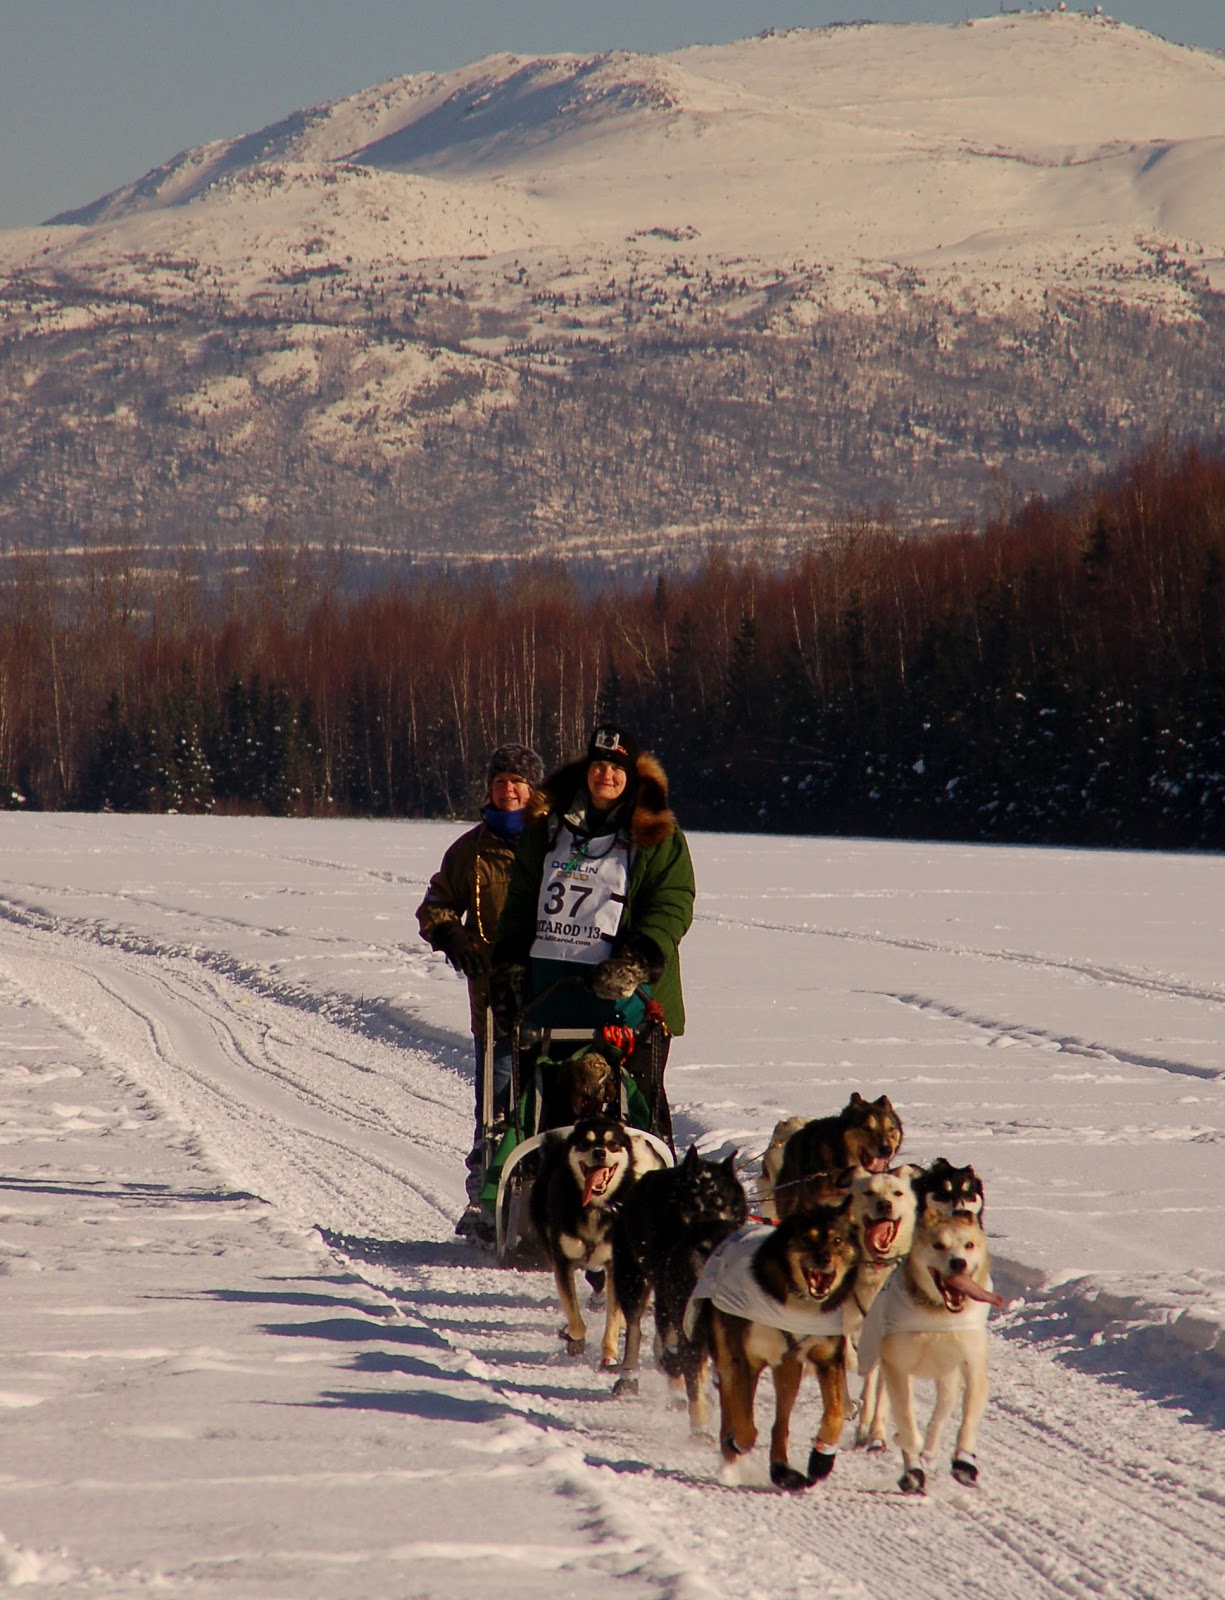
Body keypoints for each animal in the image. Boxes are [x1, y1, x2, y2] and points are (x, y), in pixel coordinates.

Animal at [528, 1115, 664, 1366]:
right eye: (586, 1142)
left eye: (613, 1144)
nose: (600, 1152)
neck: (596, 1207)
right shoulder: (562, 1261)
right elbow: (573, 1314)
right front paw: (575, 1338)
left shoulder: (616, 1264)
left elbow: (613, 1317)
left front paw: (609, 1355)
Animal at [610, 1144, 748, 1430]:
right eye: (694, 1205)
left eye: (722, 1204)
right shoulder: (668, 1297)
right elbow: (673, 1346)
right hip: (634, 1282)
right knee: (636, 1328)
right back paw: (631, 1375)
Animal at [686, 1197, 860, 1490]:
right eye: (807, 1238)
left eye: (837, 1240)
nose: (823, 1259)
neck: (798, 1303)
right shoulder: (740, 1359)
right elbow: (744, 1421)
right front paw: (739, 1441)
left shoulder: (828, 1357)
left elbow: (835, 1411)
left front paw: (821, 1460)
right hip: (733, 1359)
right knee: (733, 1409)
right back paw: (733, 1459)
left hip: (787, 1367)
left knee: (781, 1422)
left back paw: (782, 1470)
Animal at [859, 1206, 1004, 1494]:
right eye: (938, 1245)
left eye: (969, 1245)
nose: (958, 1263)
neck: (938, 1316)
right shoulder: (898, 1368)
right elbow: (906, 1422)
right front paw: (909, 1452)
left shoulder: (973, 1365)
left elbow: (968, 1418)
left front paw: (964, 1462)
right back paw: (910, 1466)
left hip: (947, 1379)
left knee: (939, 1417)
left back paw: (929, 1453)